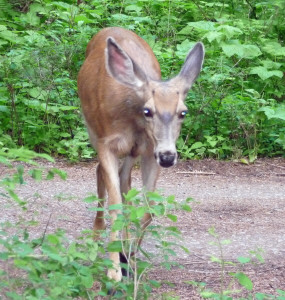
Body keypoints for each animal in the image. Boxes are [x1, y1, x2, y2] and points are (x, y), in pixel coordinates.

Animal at [76, 26, 203, 282]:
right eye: (148, 111)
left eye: (183, 112)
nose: (168, 157)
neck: (132, 118)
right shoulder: (106, 143)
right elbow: (115, 204)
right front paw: (113, 272)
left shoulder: (149, 150)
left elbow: (147, 208)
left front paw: (130, 257)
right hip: (92, 129)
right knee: (101, 173)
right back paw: (96, 241)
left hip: (133, 152)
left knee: (125, 180)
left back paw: (124, 249)